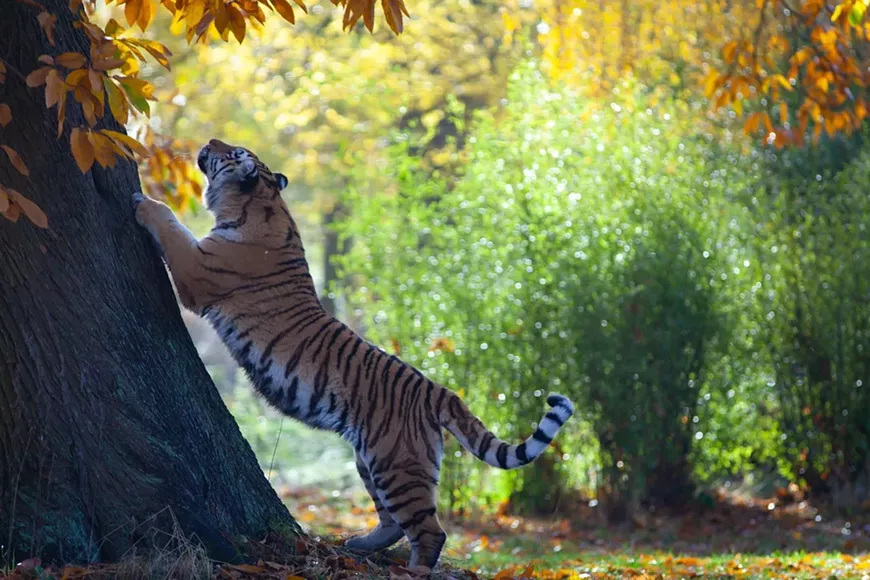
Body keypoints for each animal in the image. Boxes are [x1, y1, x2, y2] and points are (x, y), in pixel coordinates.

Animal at [132, 138, 575, 572]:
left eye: (232, 152)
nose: (209, 141)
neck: (263, 200)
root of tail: (438, 390)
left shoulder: (197, 269)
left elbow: (171, 224)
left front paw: (143, 200)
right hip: (374, 460)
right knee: (393, 522)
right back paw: (359, 544)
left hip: (397, 465)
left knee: (430, 532)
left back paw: (412, 569)